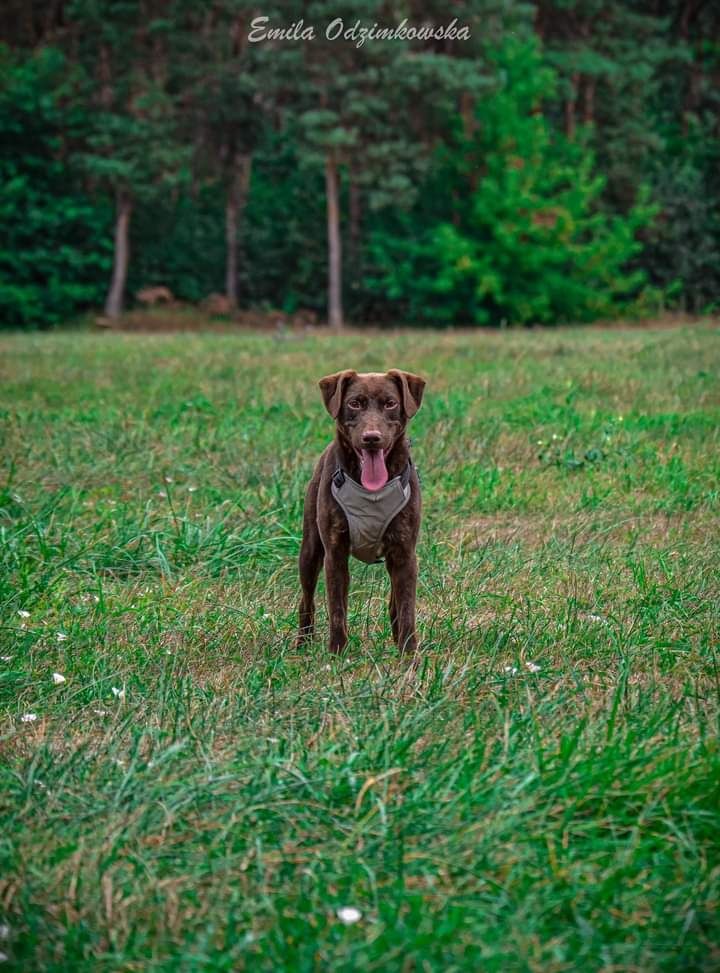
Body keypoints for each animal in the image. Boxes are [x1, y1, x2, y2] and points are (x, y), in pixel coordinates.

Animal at [296, 368, 424, 656]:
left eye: (390, 403)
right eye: (354, 403)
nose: (372, 438)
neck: (371, 491)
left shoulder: (404, 552)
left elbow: (406, 608)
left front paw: (409, 654)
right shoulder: (334, 552)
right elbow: (337, 608)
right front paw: (337, 653)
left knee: (394, 600)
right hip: (310, 550)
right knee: (307, 599)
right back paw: (303, 642)